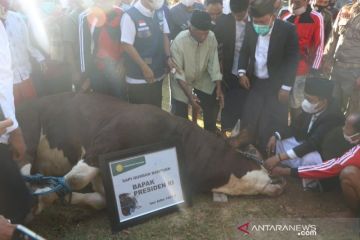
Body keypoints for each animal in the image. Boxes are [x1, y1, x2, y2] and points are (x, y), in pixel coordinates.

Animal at [15, 93, 286, 213]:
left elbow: (98, 197)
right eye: (255, 154)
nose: (281, 179)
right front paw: (46, 194)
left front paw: (58, 197)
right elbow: (75, 178)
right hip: (26, 132)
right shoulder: (107, 138)